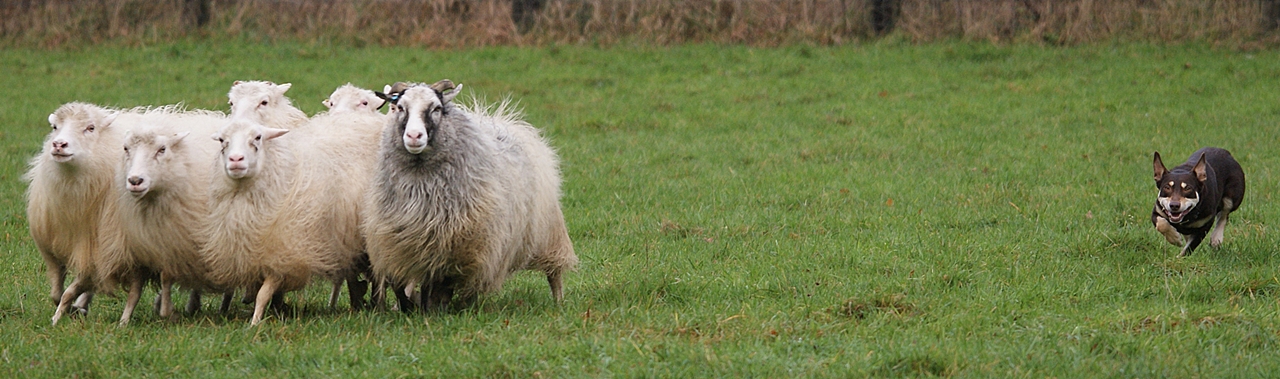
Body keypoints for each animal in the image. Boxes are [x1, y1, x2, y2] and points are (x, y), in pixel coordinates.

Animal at [202, 110, 384, 325]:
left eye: (258, 137)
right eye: (222, 140)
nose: (235, 159)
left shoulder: (284, 253)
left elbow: (263, 294)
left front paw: (255, 322)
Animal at [363, 80, 578, 311]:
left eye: (437, 108)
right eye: (401, 108)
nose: (413, 136)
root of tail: (504, 121)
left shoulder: (459, 245)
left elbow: (443, 285)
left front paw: (436, 308)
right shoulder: (407, 244)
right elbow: (404, 286)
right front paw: (414, 306)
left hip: (547, 232)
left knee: (553, 273)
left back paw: (558, 301)